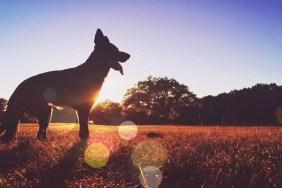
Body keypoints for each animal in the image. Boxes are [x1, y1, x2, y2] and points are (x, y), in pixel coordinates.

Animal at [0, 28, 130, 142]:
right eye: (114, 50)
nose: (129, 55)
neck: (92, 70)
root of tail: (17, 89)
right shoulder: (84, 108)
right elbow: (84, 126)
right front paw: (84, 140)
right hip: (45, 112)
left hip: (46, 113)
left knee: (39, 134)